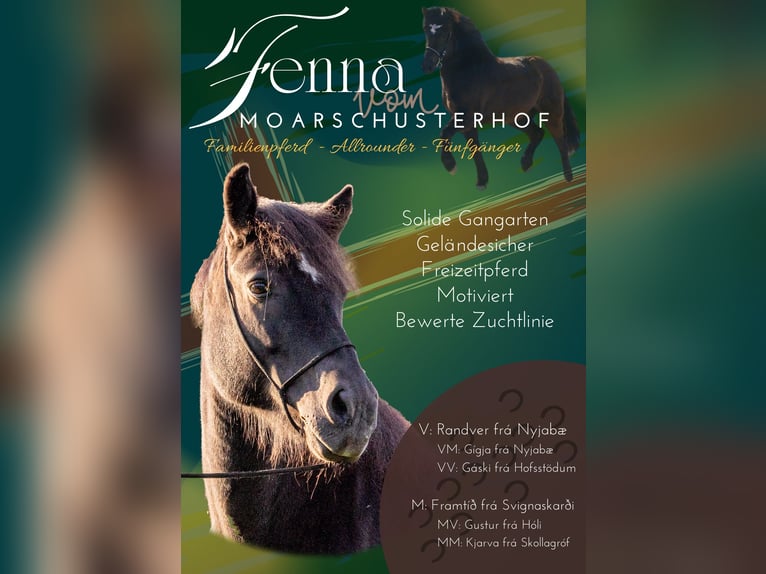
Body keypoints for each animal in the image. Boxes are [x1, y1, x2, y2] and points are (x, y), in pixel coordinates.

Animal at [421, 6, 580, 188]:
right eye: (426, 29)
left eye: (445, 31)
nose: (427, 66)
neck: (470, 69)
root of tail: (549, 68)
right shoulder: (466, 123)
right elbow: (474, 149)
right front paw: (482, 182)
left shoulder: (466, 118)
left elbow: (445, 133)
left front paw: (450, 166)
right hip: (517, 117)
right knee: (537, 133)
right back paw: (526, 164)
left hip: (551, 113)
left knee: (560, 142)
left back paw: (568, 178)